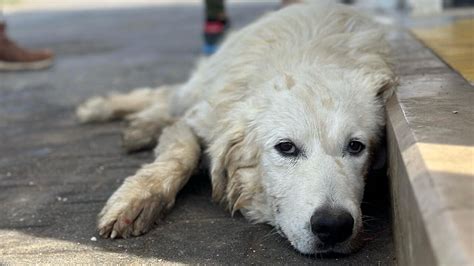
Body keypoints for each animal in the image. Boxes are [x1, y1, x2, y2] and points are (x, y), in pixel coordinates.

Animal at [77, 1, 396, 255]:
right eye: (286, 148)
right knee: (167, 96)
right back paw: (111, 113)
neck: (310, 59)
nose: (334, 225)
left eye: (355, 147)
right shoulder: (199, 119)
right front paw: (139, 198)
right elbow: (182, 153)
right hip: (196, 89)